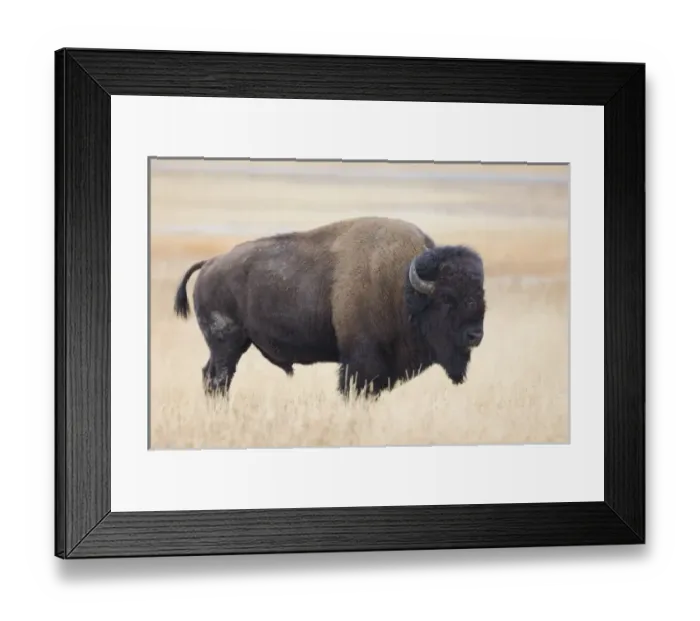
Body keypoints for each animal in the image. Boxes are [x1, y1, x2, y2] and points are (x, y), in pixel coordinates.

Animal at [173, 216, 486, 400]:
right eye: (447, 298)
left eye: (480, 293)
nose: (475, 335)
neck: (402, 286)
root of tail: (211, 263)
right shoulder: (360, 362)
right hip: (226, 344)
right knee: (218, 379)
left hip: (231, 345)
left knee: (212, 377)